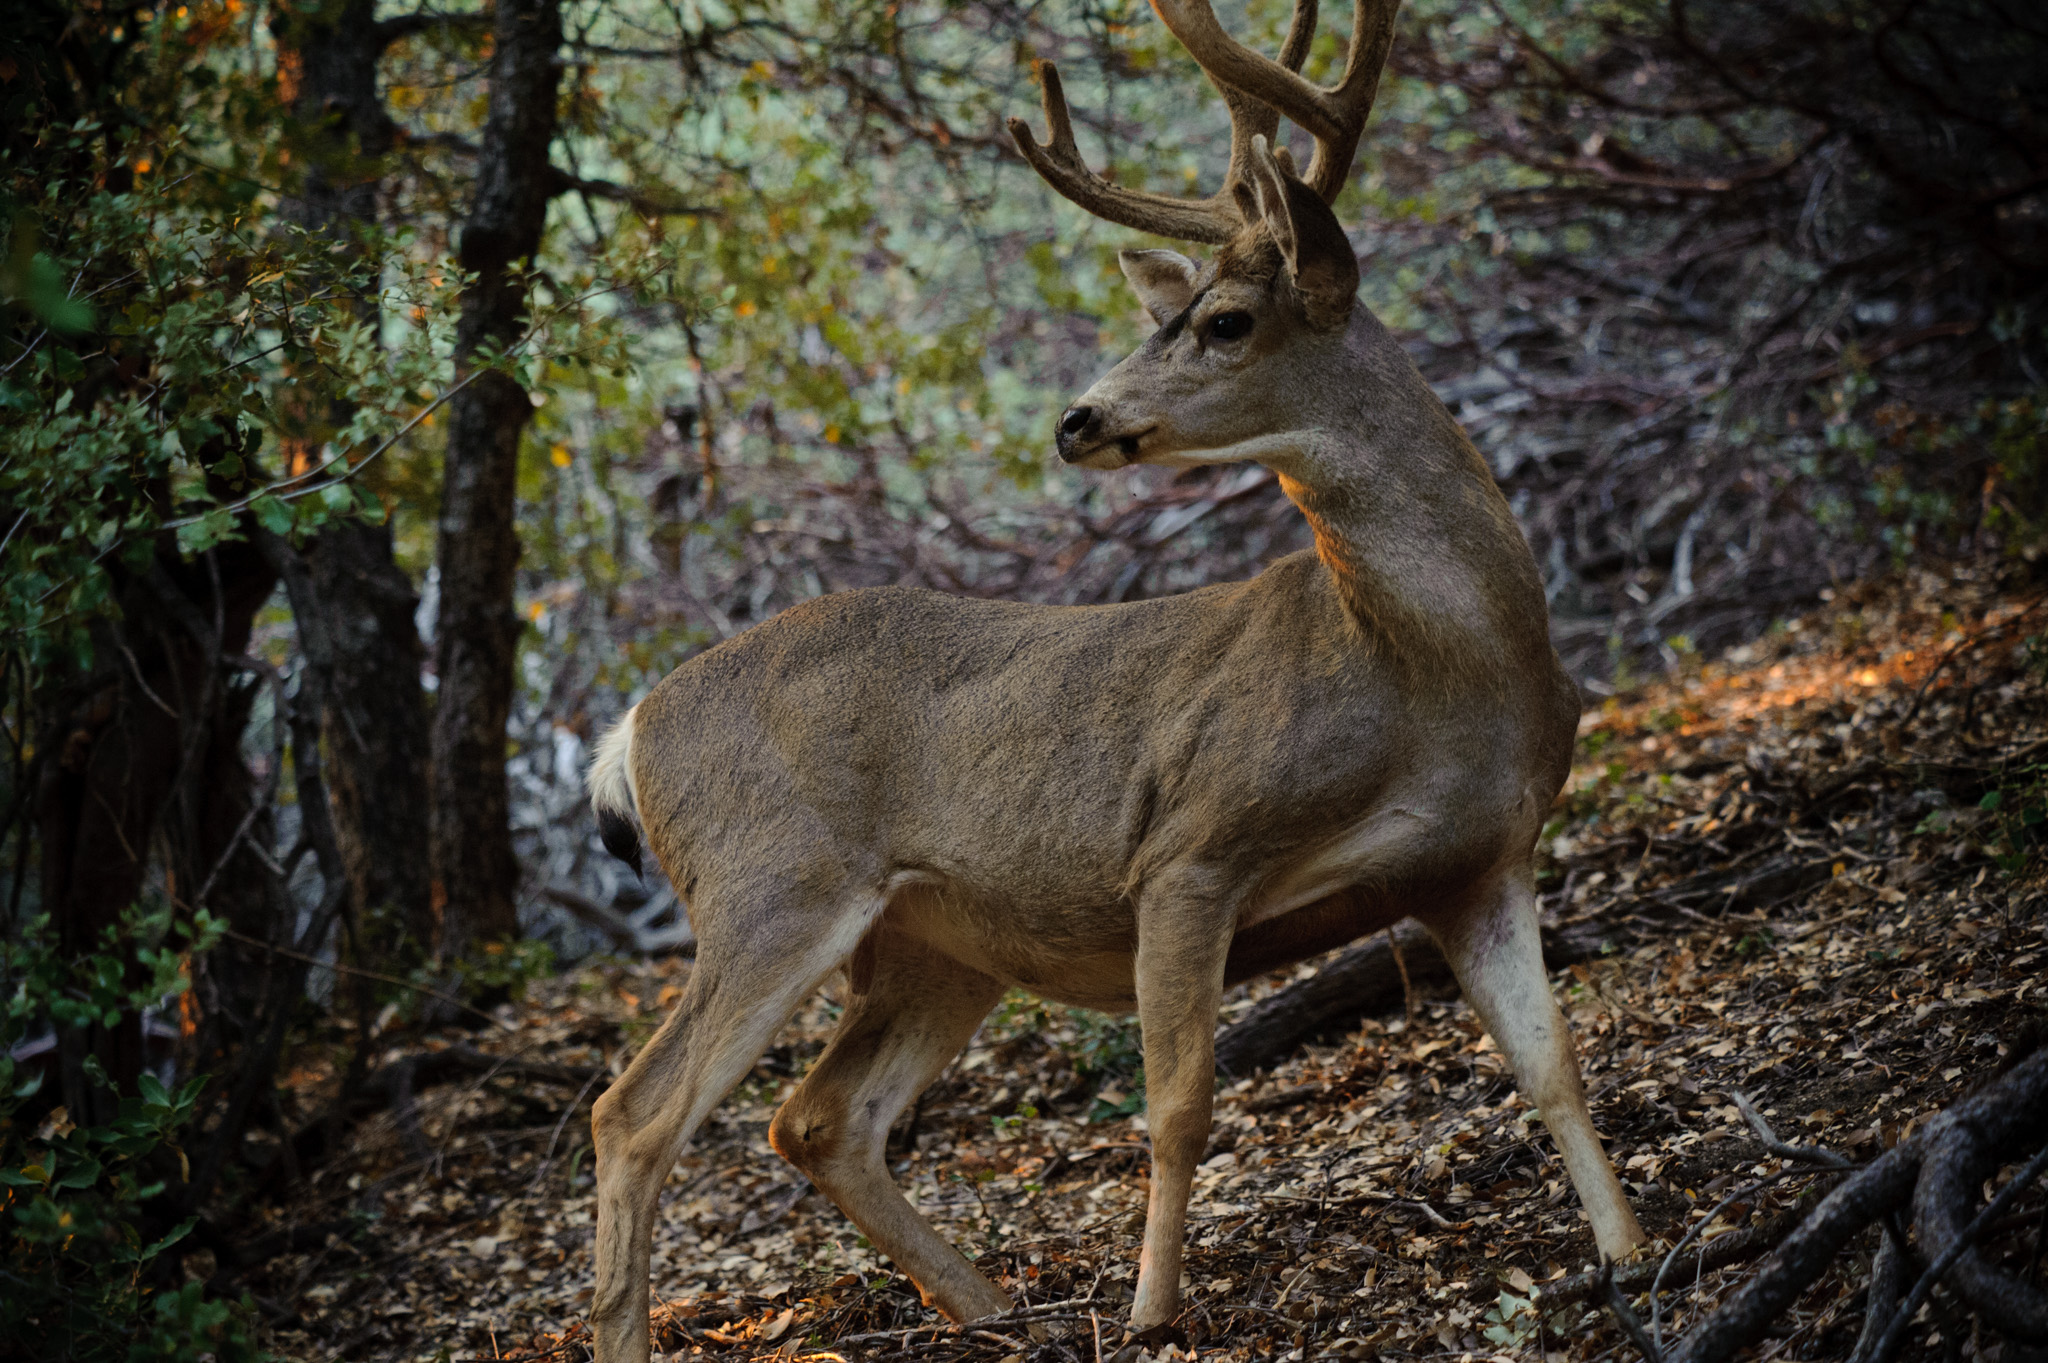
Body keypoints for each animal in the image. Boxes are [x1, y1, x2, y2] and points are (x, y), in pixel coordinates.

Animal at [582, 1, 1646, 1356]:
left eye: (1223, 319)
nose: (1075, 420)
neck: (1430, 673)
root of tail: (629, 727)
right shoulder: (1188, 847)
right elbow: (1178, 1103)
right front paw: (1149, 1312)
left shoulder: (1478, 859)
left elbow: (1552, 1059)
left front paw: (1626, 1252)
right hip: (768, 883)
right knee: (636, 1112)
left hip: (932, 939)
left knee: (817, 1117)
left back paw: (995, 1309)